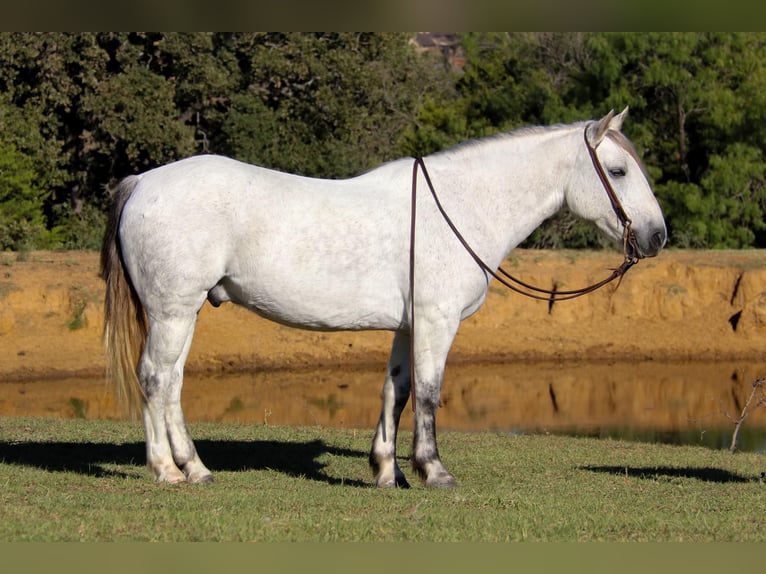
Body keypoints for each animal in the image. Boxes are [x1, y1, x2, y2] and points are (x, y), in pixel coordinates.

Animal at [100, 107, 664, 486]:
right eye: (618, 172)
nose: (657, 237)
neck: (459, 206)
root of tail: (143, 181)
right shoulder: (437, 321)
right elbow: (430, 393)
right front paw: (433, 471)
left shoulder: (408, 326)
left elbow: (398, 391)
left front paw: (388, 470)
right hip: (173, 311)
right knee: (156, 379)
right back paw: (168, 471)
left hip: (183, 313)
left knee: (171, 383)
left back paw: (194, 467)